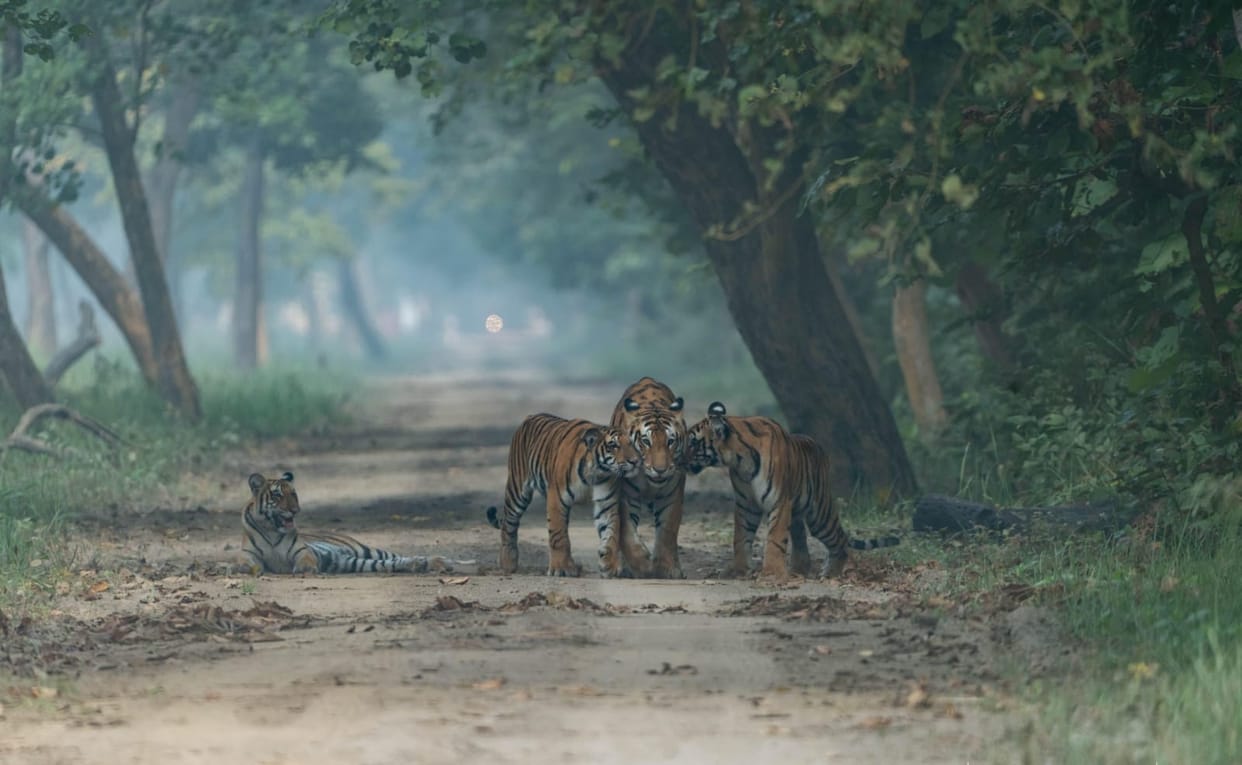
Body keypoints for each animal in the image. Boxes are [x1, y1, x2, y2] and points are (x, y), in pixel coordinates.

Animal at [242, 471, 472, 575]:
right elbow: (247, 561)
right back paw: (424, 565)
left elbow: (305, 558)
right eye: (278, 496)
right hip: (356, 562)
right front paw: (248, 569)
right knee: (396, 562)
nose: (295, 510)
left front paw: (305, 569)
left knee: (401, 556)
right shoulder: (248, 553)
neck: (272, 530)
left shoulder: (302, 551)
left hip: (368, 551)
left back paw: (444, 562)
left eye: (294, 495)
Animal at [485, 413, 640, 576]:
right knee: (508, 524)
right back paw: (508, 562)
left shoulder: (606, 503)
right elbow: (558, 535)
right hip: (517, 490)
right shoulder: (557, 499)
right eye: (613, 445)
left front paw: (610, 566)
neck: (596, 471)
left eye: (632, 444)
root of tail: (529, 417)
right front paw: (561, 568)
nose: (635, 461)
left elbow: (611, 533)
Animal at [607, 376, 688, 579]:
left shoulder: (672, 495)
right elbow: (627, 532)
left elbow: (667, 531)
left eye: (670, 441)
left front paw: (668, 569)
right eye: (646, 441)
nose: (660, 470)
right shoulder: (625, 496)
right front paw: (642, 566)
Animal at [681, 402, 900, 580]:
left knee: (839, 542)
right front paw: (740, 570)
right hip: (797, 514)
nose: (676, 458)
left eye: (693, 442)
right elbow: (741, 537)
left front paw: (771, 573)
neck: (739, 459)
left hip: (819, 516)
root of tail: (821, 449)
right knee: (801, 539)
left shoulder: (778, 501)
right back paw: (798, 570)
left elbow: (775, 539)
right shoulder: (746, 504)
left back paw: (830, 574)